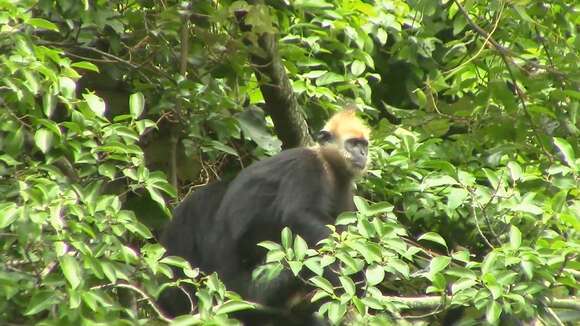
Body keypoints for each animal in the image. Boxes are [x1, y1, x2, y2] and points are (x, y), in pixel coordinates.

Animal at [157, 111, 372, 324]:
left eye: (364, 145)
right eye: (353, 144)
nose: (363, 154)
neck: (329, 165)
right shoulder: (306, 165)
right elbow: (298, 214)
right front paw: (349, 276)